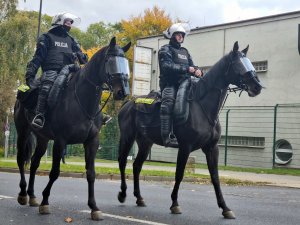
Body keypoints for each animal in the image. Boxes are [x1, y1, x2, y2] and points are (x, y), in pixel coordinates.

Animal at [14, 37, 130, 221]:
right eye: (110, 61)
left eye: (125, 63)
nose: (122, 92)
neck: (82, 100)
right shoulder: (61, 141)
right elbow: (54, 172)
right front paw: (45, 202)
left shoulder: (92, 142)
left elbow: (91, 173)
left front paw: (94, 207)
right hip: (23, 131)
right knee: (20, 160)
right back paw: (23, 194)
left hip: (42, 139)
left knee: (34, 163)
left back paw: (32, 196)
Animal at [116, 41, 262, 218]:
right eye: (238, 64)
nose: (257, 86)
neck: (202, 107)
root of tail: (127, 104)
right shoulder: (185, 147)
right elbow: (179, 174)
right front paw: (174, 204)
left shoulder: (212, 149)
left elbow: (215, 177)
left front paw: (225, 208)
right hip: (127, 137)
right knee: (123, 162)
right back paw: (123, 194)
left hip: (145, 143)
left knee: (137, 166)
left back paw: (139, 198)